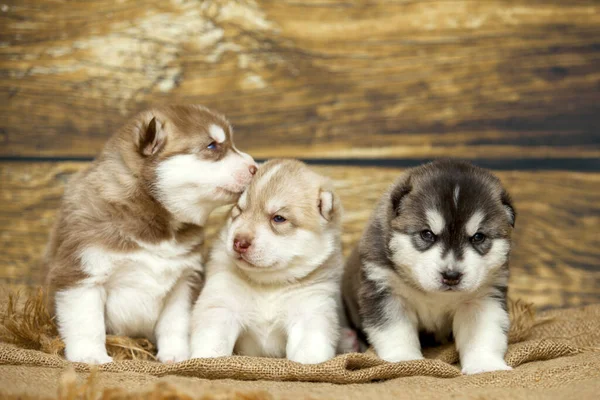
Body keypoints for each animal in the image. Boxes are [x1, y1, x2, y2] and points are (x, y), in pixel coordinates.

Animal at [44, 104, 255, 364]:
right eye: (212, 146)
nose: (255, 167)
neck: (156, 225)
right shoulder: (81, 273)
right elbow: (87, 322)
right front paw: (90, 357)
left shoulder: (183, 281)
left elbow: (175, 324)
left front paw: (176, 355)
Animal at [188, 159, 346, 362]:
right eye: (239, 210)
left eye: (278, 218)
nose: (239, 242)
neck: (268, 285)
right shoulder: (222, 305)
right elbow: (212, 346)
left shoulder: (310, 311)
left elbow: (308, 353)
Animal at [342, 159, 516, 376]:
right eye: (427, 234)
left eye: (478, 237)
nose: (451, 276)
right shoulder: (385, 291)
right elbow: (395, 331)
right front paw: (404, 359)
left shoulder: (481, 298)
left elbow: (482, 334)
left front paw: (485, 365)